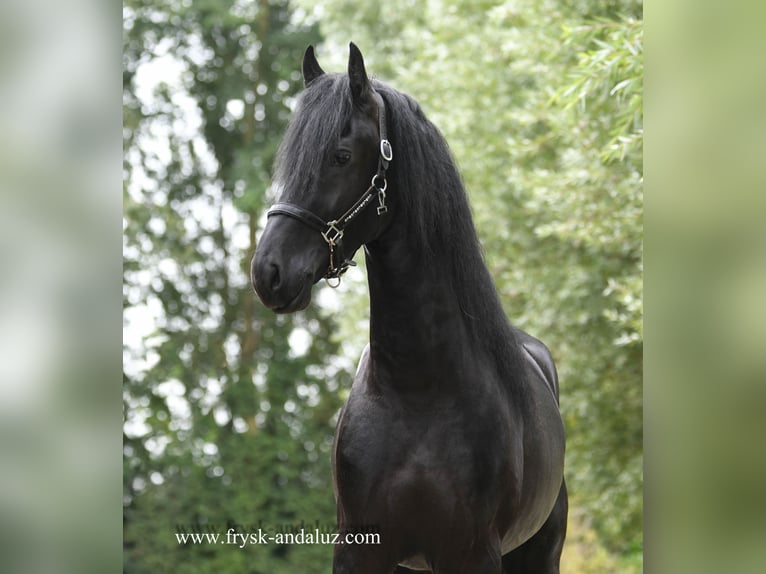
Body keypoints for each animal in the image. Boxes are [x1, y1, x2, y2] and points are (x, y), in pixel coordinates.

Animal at [254, 42, 568, 572]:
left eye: (340, 156)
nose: (267, 272)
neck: (416, 391)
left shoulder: (472, 554)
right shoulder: (360, 548)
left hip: (540, 552)